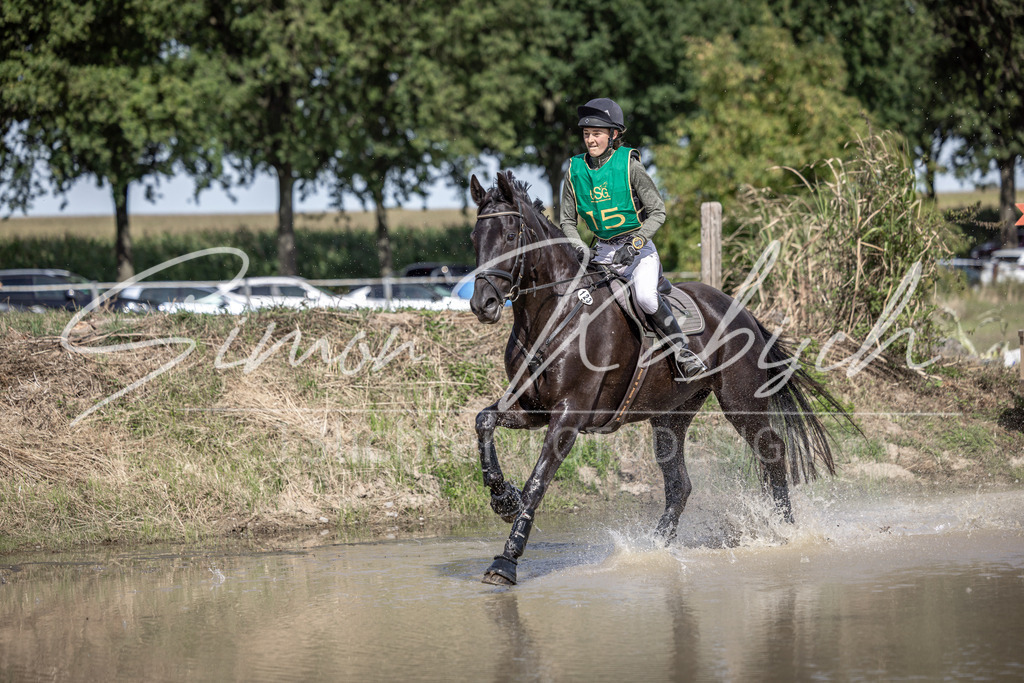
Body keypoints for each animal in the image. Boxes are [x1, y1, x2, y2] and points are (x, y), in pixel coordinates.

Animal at [468, 170, 853, 586]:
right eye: (474, 239)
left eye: (510, 236)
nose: (482, 304)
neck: (555, 315)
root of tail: (741, 310)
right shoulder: (531, 409)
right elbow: (484, 420)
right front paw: (502, 497)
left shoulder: (569, 415)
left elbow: (537, 482)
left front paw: (506, 561)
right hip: (671, 414)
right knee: (679, 484)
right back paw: (654, 548)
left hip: (741, 403)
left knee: (772, 453)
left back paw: (785, 532)